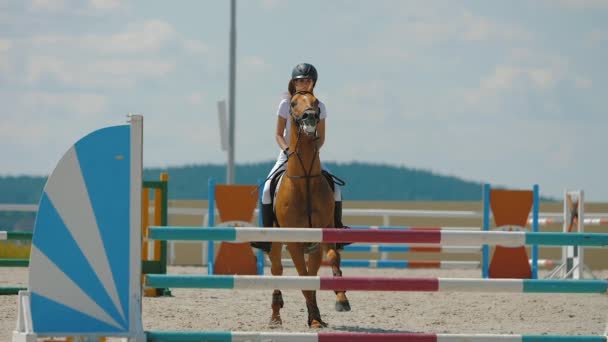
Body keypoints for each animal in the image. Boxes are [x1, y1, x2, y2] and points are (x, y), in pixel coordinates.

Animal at [268, 91, 350, 328]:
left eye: (316, 102)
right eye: (294, 103)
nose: (310, 117)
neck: (304, 180)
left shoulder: (321, 234)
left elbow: (329, 260)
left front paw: (339, 301)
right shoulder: (294, 242)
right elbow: (303, 277)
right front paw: (313, 316)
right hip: (275, 241)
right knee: (276, 270)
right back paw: (275, 316)